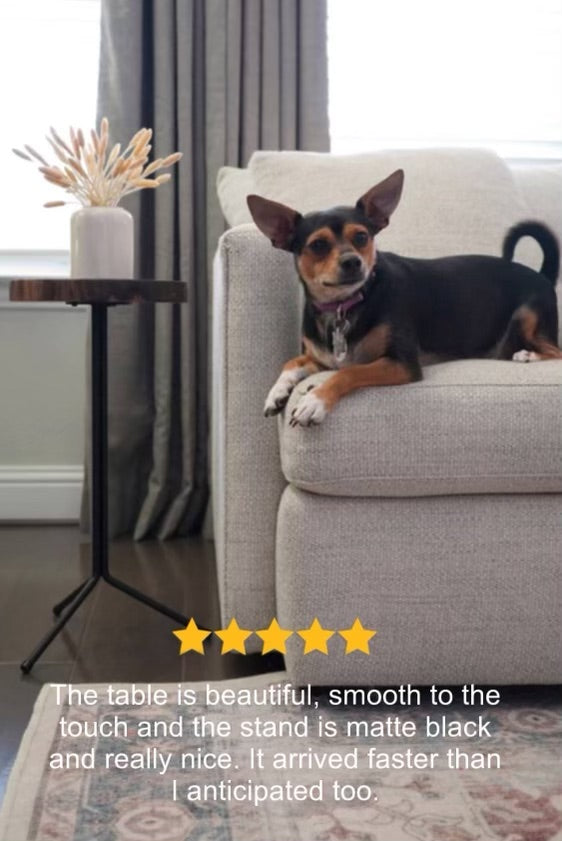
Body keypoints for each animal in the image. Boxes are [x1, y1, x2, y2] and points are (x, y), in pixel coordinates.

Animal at [247, 168, 556, 426]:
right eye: (318, 245)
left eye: (361, 237)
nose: (352, 262)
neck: (344, 305)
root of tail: (543, 274)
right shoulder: (321, 359)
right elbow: (292, 362)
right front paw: (277, 392)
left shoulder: (401, 363)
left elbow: (348, 372)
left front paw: (314, 400)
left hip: (528, 317)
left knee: (556, 352)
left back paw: (528, 355)